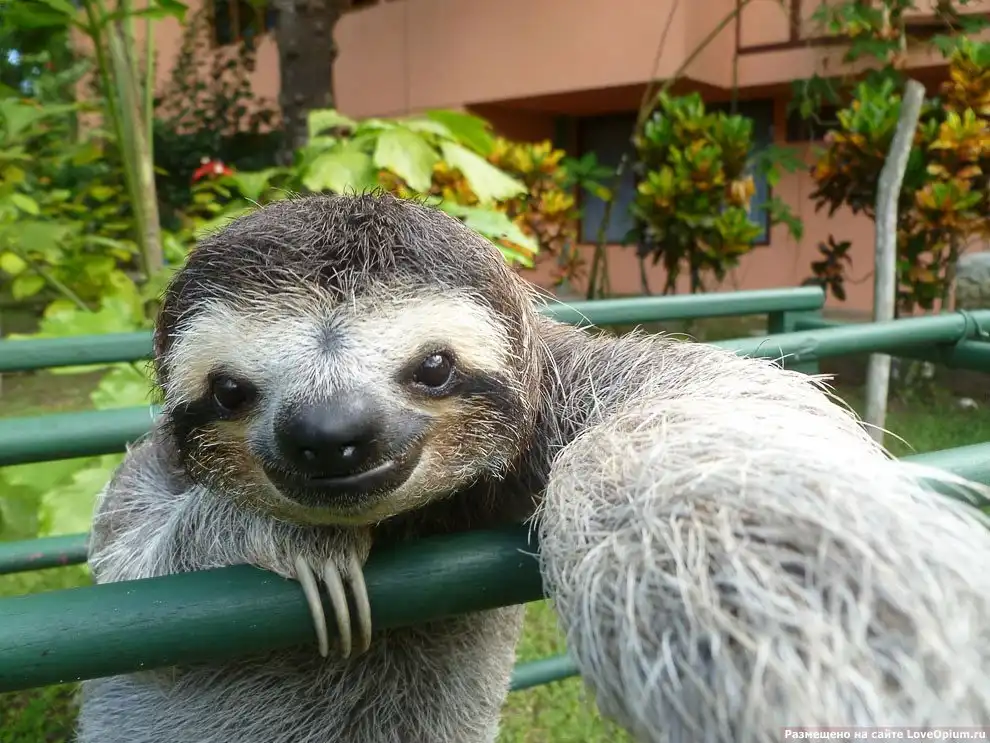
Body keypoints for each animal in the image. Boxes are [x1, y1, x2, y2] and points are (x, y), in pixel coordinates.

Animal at [76, 192, 990, 743]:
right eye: (230, 390)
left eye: (433, 366)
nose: (330, 432)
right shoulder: (143, 481)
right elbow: (124, 563)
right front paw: (283, 535)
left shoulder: (566, 390)